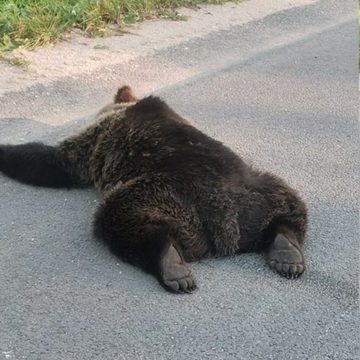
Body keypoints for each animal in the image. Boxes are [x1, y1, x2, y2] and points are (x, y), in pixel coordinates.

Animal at [0, 86, 310, 292]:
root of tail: (225, 222)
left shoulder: (95, 141)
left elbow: (55, 162)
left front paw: (6, 149)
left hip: (159, 194)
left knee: (121, 218)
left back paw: (171, 265)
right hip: (255, 193)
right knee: (288, 202)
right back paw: (287, 252)